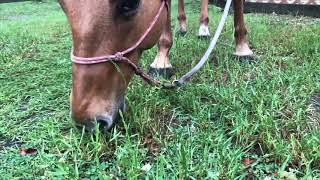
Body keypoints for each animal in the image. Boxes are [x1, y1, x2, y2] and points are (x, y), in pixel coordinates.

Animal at [58, 0, 254, 132]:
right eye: (62, 5)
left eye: (129, 3)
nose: (86, 121)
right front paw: (162, 59)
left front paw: (243, 48)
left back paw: (203, 29)